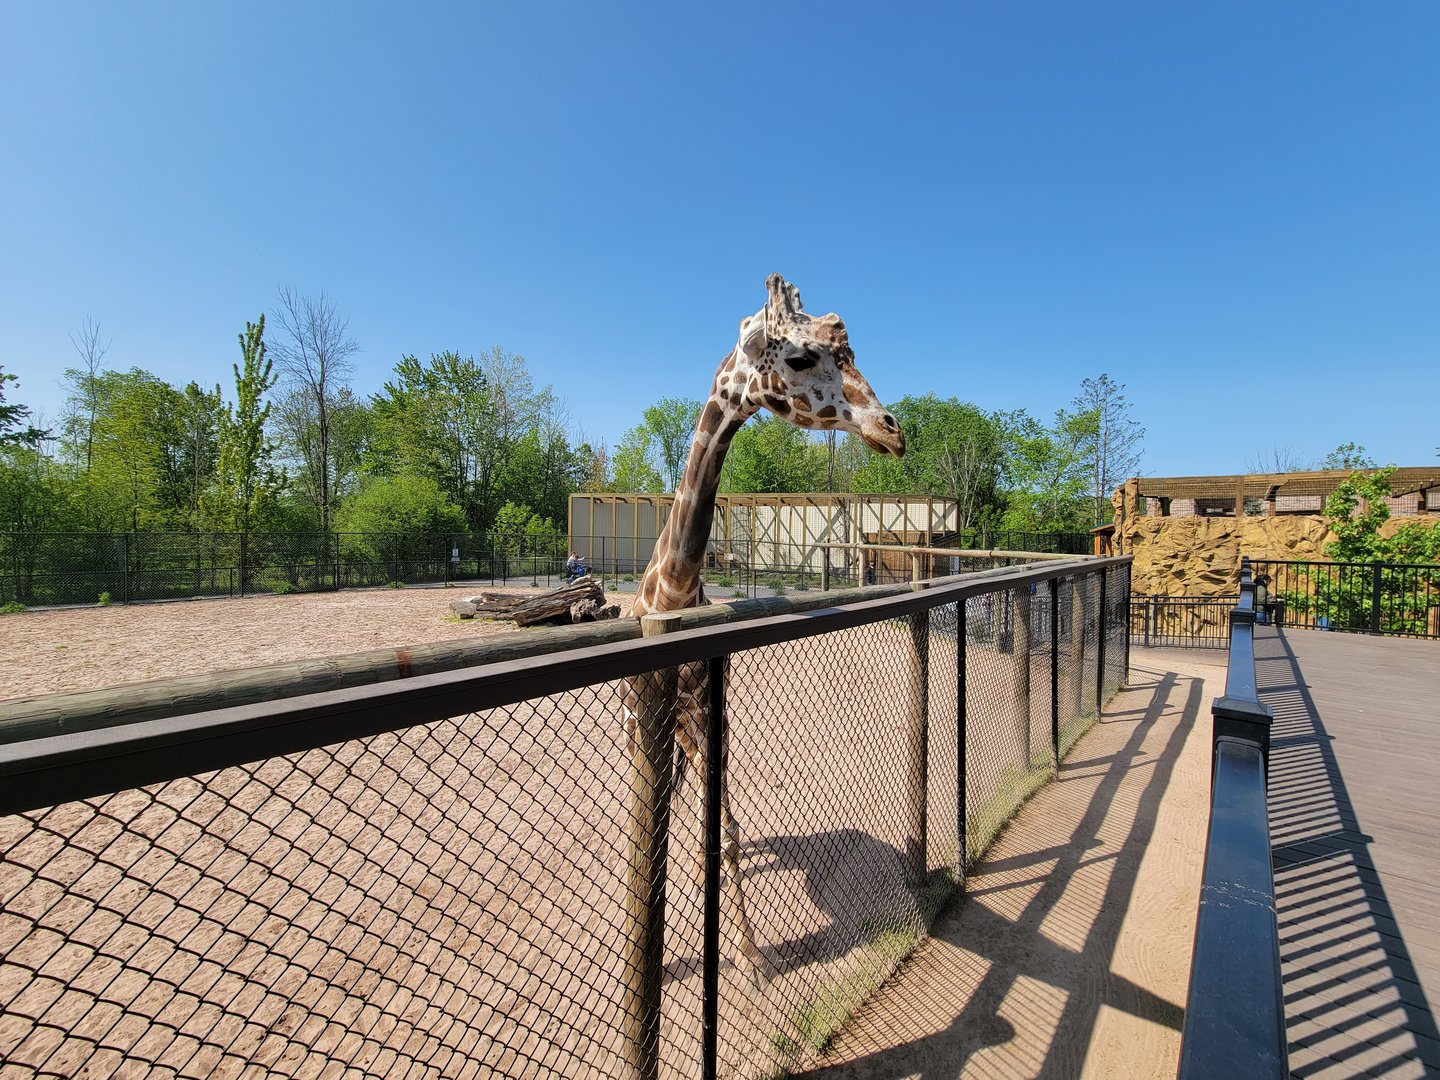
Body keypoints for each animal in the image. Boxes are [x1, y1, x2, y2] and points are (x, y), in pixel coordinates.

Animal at [630, 272, 905, 993]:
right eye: (803, 356)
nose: (892, 430)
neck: (673, 590)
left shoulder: (709, 715)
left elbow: (718, 832)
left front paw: (751, 961)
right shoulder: (654, 721)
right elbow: (660, 837)